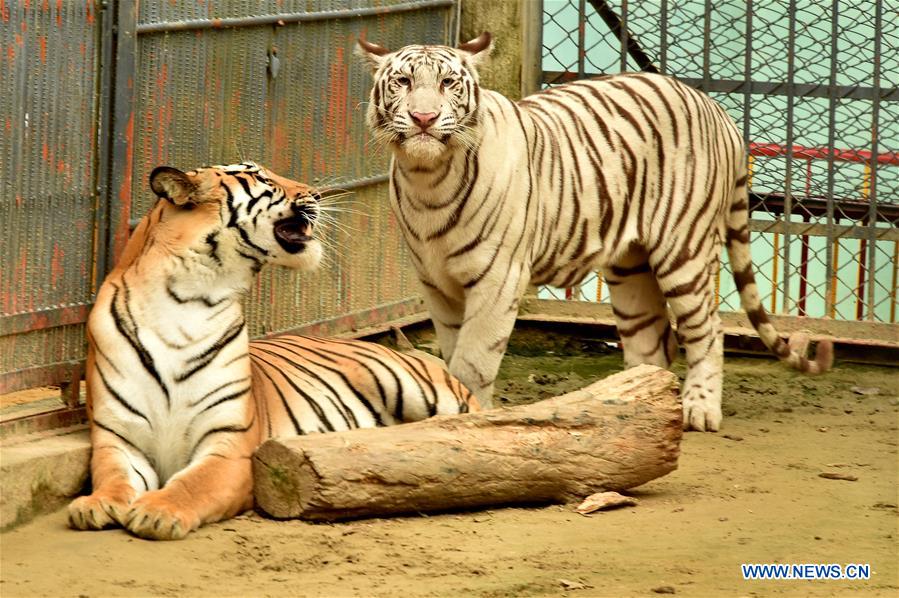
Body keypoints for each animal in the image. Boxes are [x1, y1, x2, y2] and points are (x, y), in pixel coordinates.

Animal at [68, 162, 477, 540]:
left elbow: (192, 483)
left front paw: (158, 512)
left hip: (412, 386)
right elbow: (113, 477)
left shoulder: (230, 447)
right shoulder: (117, 438)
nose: (318, 193)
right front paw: (95, 505)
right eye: (261, 178)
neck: (186, 302)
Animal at [356, 32, 833, 432]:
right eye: (402, 81)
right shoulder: (437, 283)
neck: (427, 178)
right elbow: (452, 350)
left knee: (707, 331)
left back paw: (698, 410)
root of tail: (713, 106)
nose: (424, 117)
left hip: (685, 250)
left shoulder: (498, 278)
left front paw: (467, 415)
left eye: (449, 82)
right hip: (630, 268)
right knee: (652, 343)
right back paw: (629, 406)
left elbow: (473, 361)